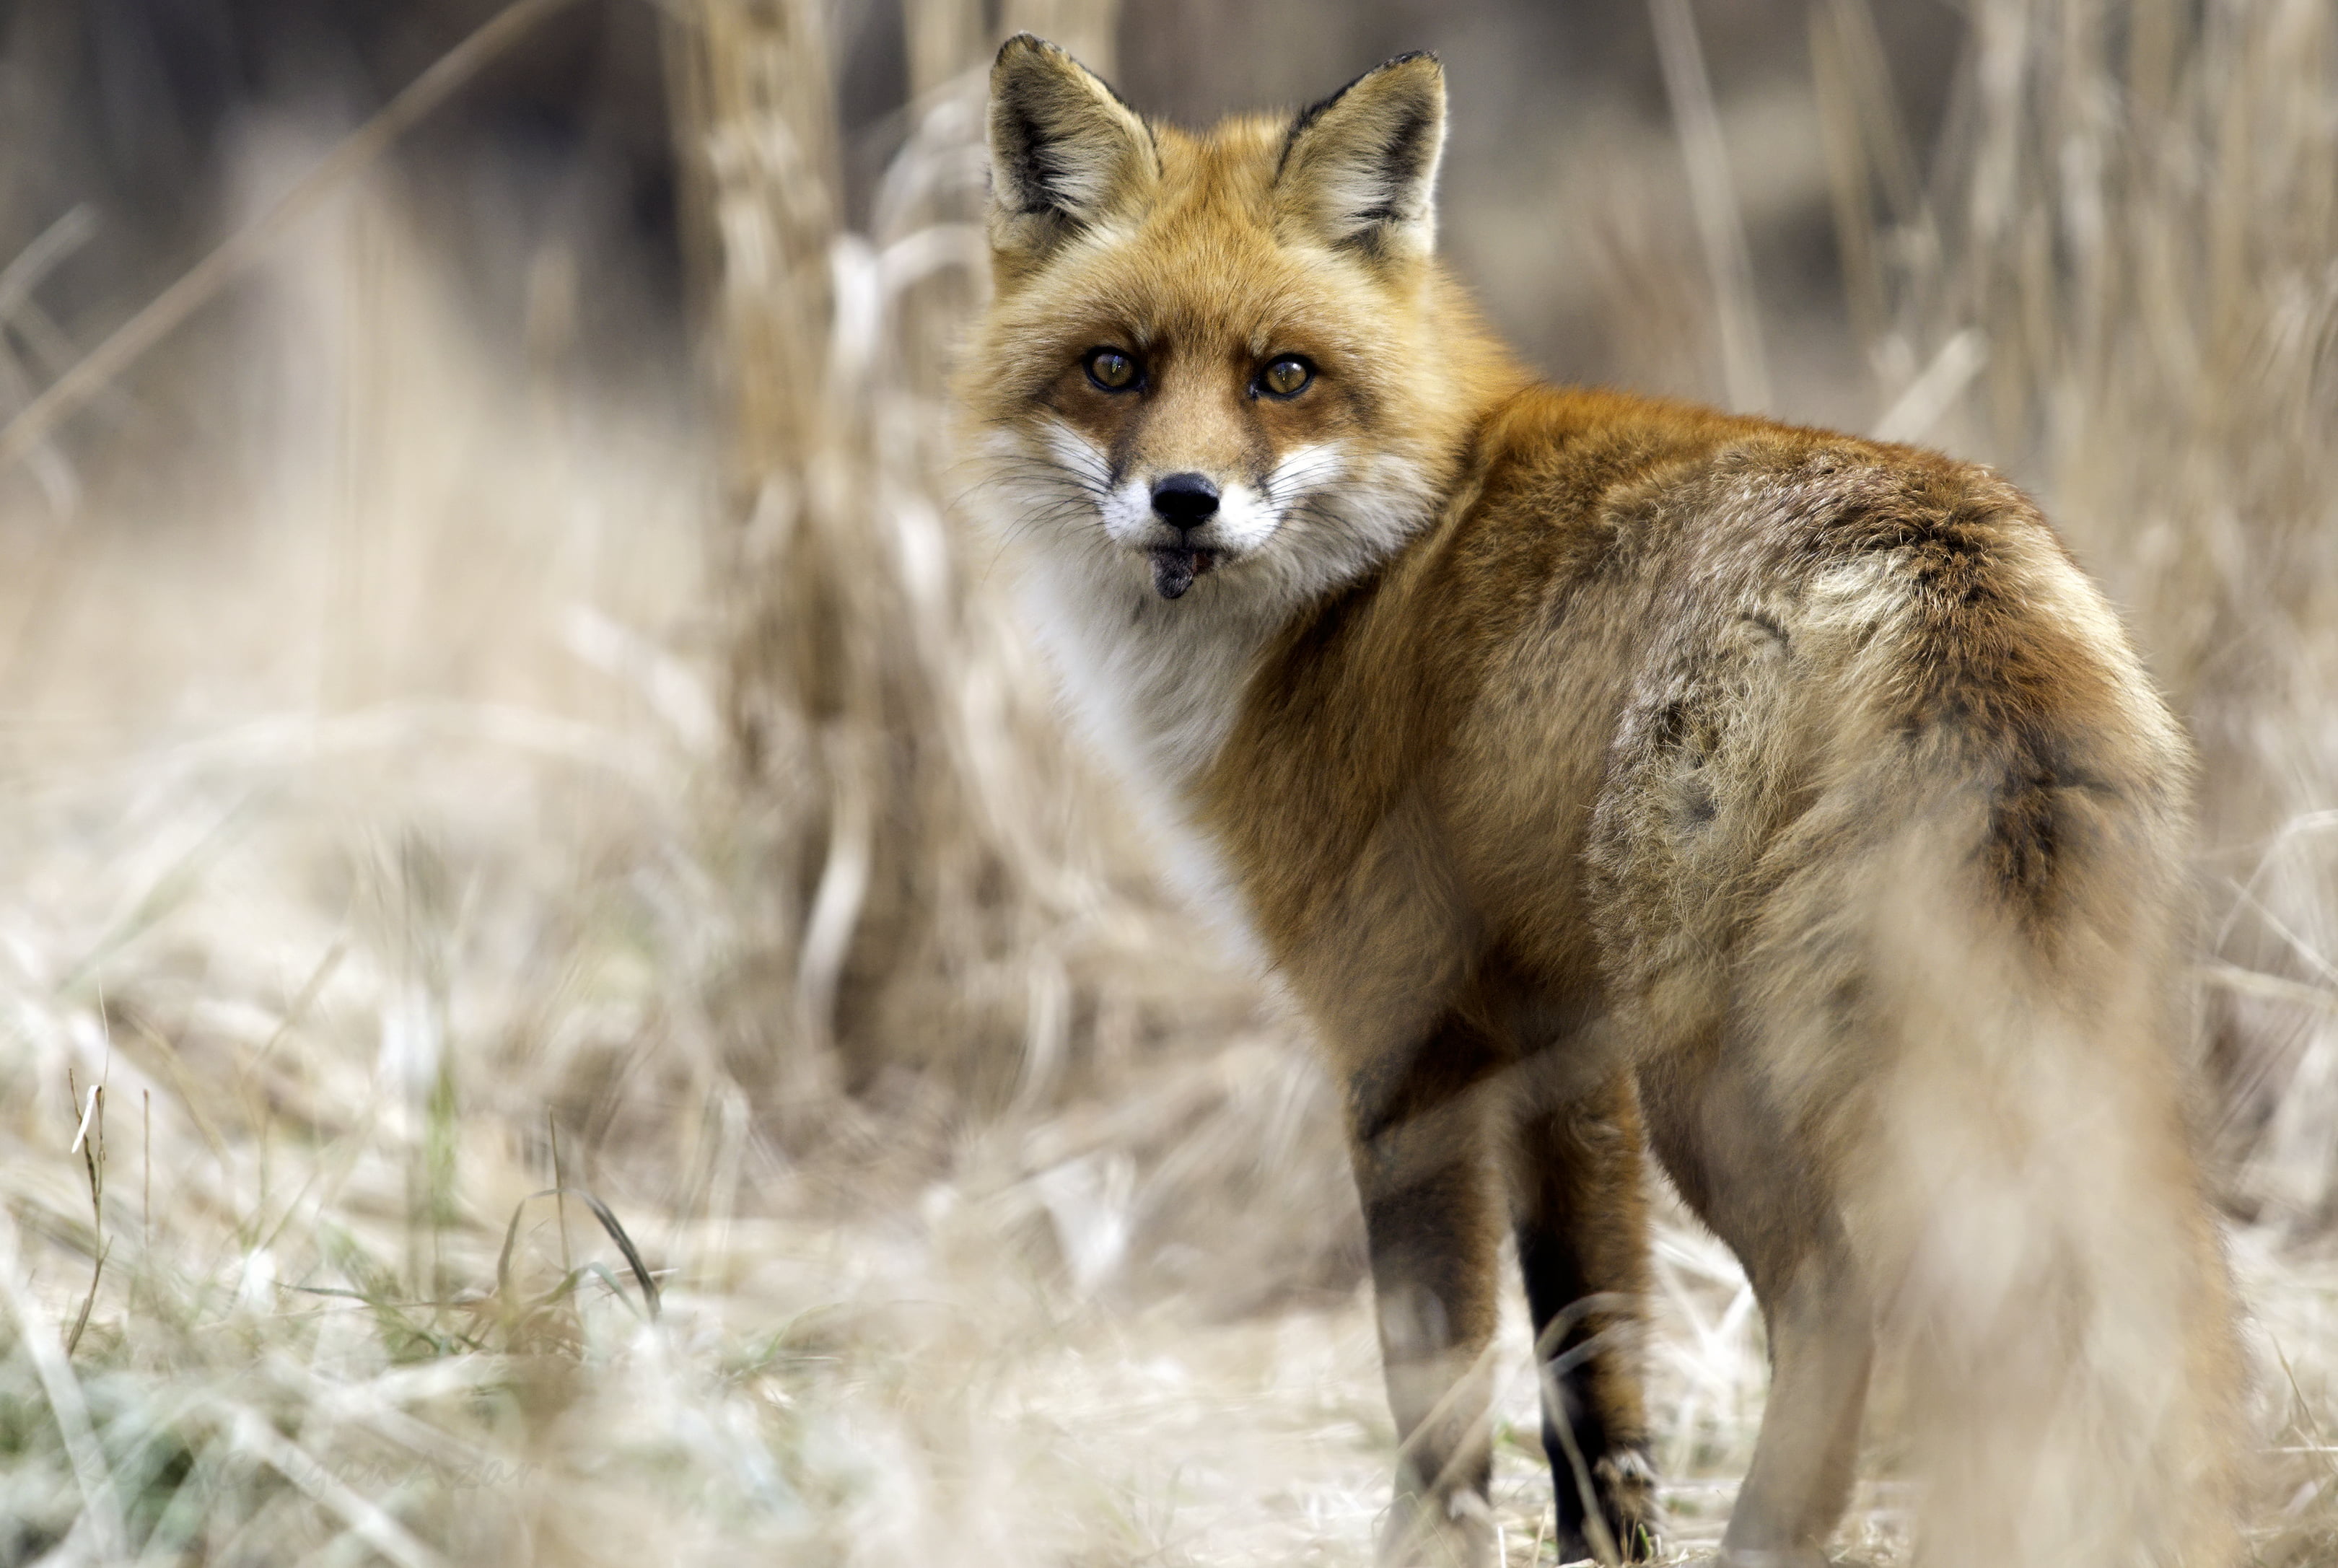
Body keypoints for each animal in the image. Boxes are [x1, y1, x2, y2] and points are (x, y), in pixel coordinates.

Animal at [957, 35, 2244, 1568]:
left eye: (1284, 375)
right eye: (1114, 368)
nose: (1185, 499)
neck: (1367, 576)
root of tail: (1937, 556)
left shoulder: (1400, 1029)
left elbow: (1435, 1355)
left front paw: (1431, 1543)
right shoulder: (1560, 1036)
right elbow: (1591, 1345)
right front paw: (1606, 1544)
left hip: (1720, 1069)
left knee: (1842, 1300)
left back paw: (1773, 1536)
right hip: (2064, 1037)